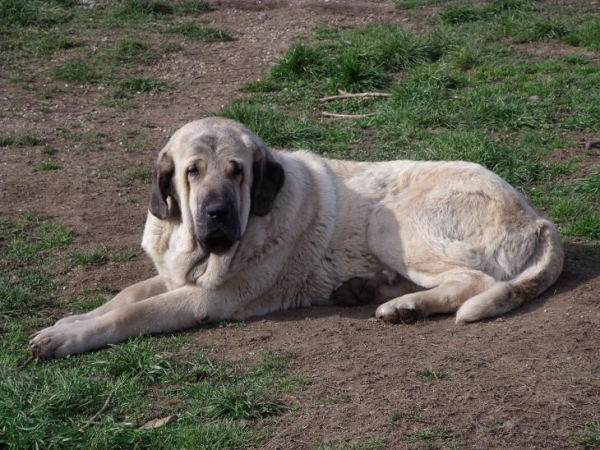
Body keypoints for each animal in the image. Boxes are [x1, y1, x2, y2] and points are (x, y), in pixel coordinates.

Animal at [29, 118, 564, 356]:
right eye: (192, 172)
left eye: (238, 172)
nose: (217, 213)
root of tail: (537, 218)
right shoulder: (176, 275)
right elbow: (125, 295)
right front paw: (71, 320)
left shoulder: (207, 299)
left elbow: (134, 313)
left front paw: (67, 337)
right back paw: (370, 291)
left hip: (390, 222)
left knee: (473, 282)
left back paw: (401, 306)